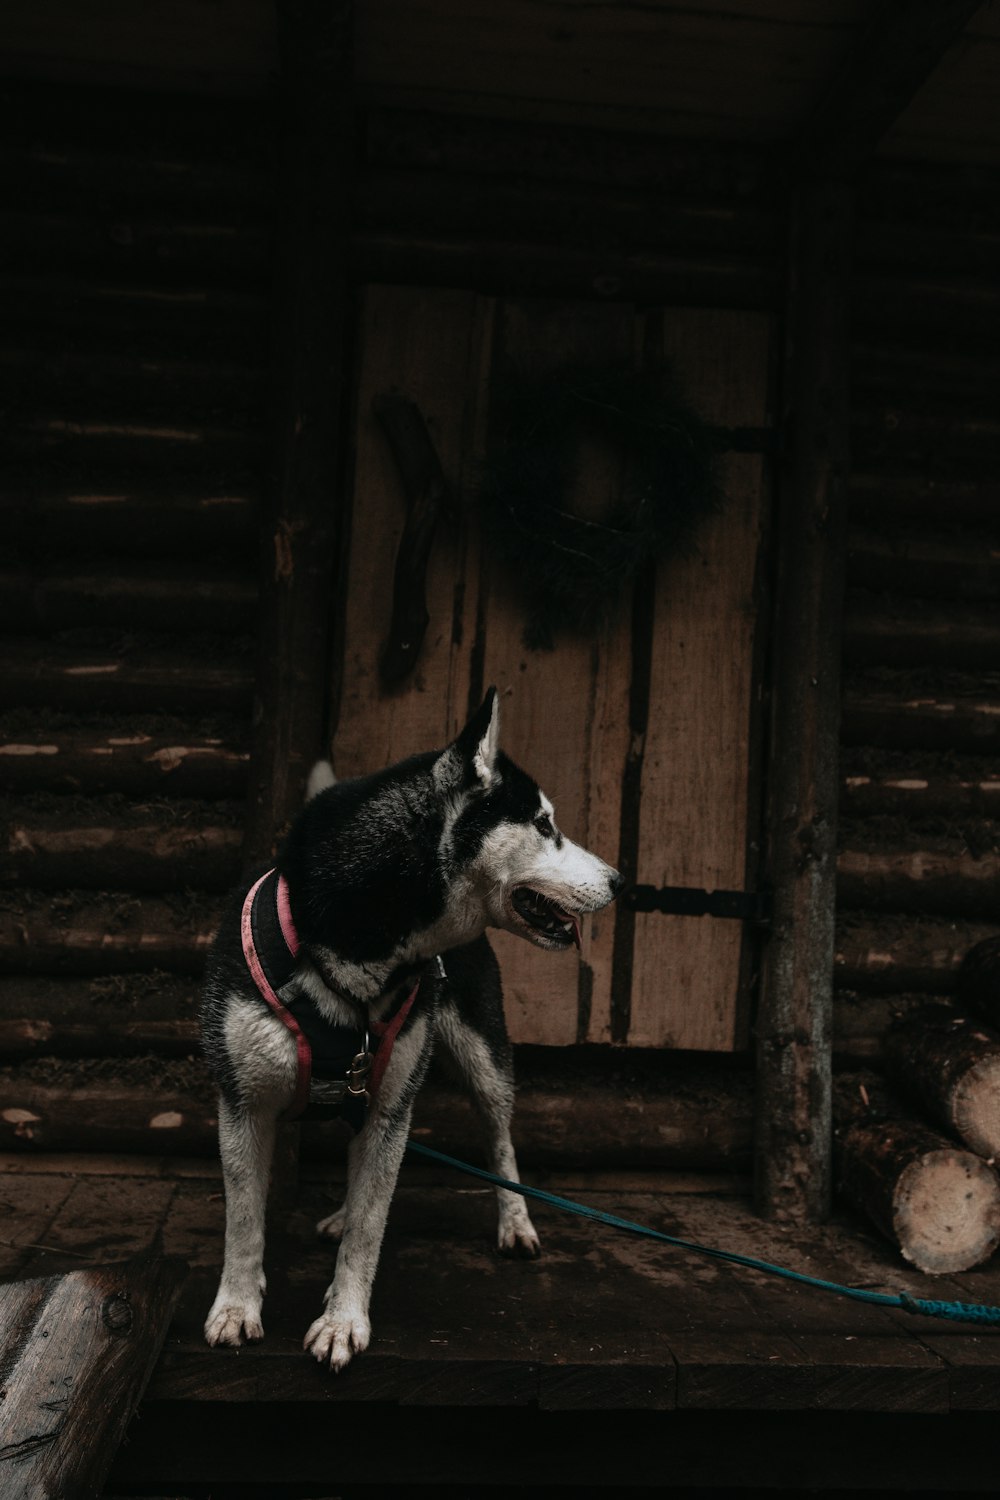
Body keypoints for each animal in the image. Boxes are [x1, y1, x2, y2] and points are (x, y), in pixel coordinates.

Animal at [199, 690, 620, 1374]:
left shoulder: (393, 1101)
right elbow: (244, 1220)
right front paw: (237, 1305)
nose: (619, 881)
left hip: (482, 1058)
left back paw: (515, 1223)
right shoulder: (242, 1100)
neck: (355, 957)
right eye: (543, 824)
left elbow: (372, 1228)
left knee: (499, 1138)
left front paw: (343, 1320)